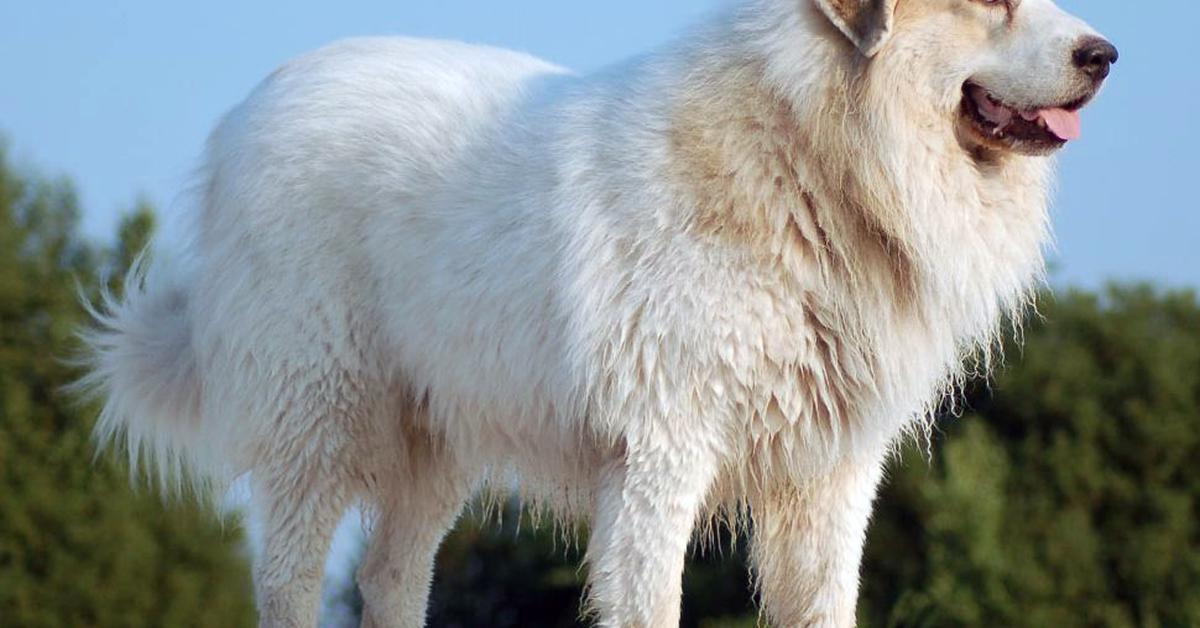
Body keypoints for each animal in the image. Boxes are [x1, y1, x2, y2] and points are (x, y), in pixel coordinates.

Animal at [82, 0, 1113, 624]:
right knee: (292, 580)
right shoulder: (664, 451)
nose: (1105, 54)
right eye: (993, 2)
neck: (810, 155)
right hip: (321, 417)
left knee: (390, 573)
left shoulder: (830, 473)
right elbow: (650, 602)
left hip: (438, 438)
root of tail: (254, 107)